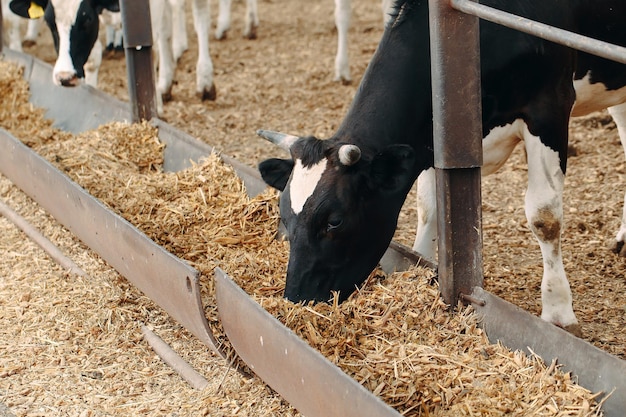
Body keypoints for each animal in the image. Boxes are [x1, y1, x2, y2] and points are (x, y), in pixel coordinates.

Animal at [256, 0, 624, 334]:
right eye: (284, 216)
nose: (296, 300)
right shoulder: (437, 135)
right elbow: (430, 209)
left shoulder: (549, 106)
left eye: (334, 221)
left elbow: (544, 217)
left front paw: (559, 311)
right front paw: (421, 267)